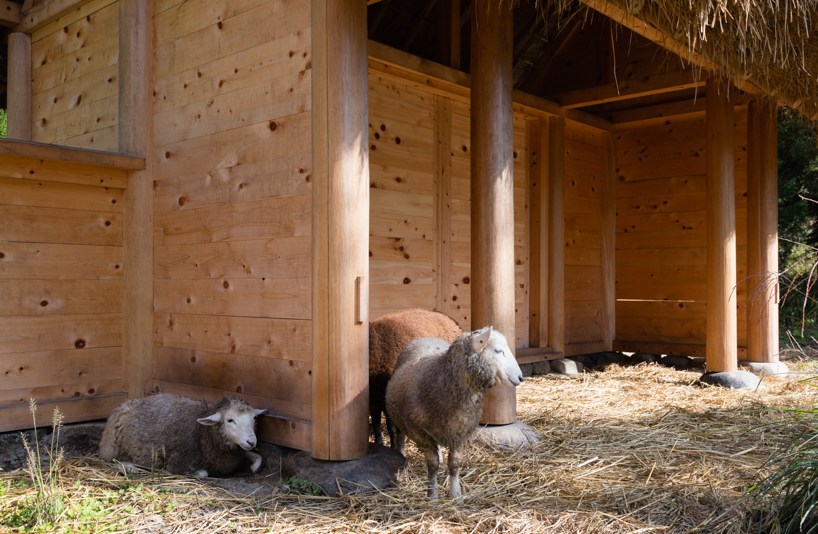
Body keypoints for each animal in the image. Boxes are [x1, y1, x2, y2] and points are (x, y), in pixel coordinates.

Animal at [99, 394, 266, 478]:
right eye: (230, 420)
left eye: (253, 418)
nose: (251, 441)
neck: (202, 433)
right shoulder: (177, 463)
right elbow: (202, 473)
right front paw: (197, 472)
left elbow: (258, 458)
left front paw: (253, 465)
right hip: (111, 446)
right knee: (109, 459)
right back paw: (130, 467)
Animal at [369, 308, 462, 447]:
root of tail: (446, 317)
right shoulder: (374, 399)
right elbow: (376, 424)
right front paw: (379, 444)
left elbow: (391, 426)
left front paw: (394, 447)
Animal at [385, 326, 523, 499]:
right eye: (498, 350)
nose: (520, 377)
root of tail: (425, 337)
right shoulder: (420, 433)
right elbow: (432, 465)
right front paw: (432, 493)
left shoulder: (460, 432)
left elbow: (454, 465)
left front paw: (455, 494)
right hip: (399, 417)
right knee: (399, 434)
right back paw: (402, 453)